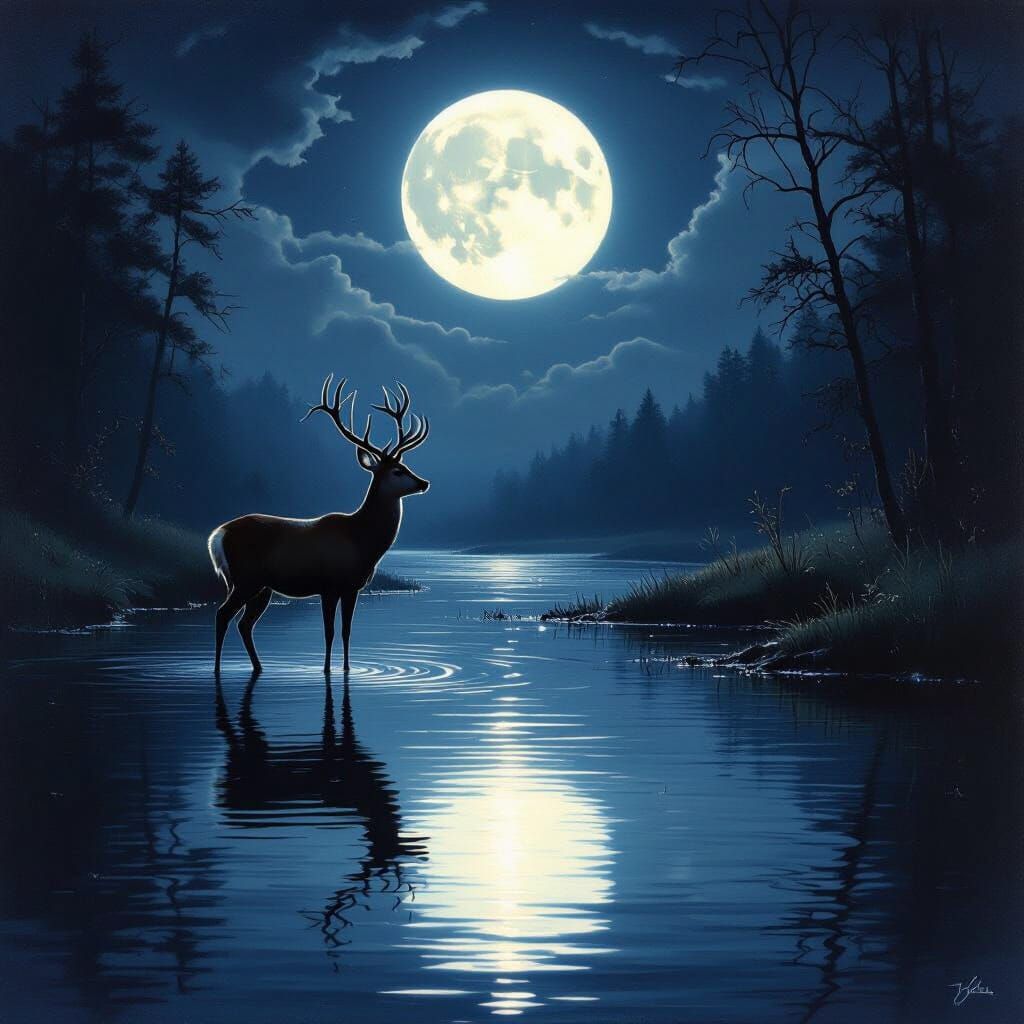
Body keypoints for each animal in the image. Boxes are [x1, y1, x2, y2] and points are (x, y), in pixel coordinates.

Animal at [208, 374, 430, 676]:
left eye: (406, 465)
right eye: (397, 471)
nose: (424, 482)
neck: (362, 541)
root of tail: (217, 536)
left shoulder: (352, 587)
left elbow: (347, 631)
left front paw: (347, 669)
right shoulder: (329, 585)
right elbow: (329, 632)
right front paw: (326, 670)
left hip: (261, 587)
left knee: (244, 623)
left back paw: (259, 666)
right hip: (246, 578)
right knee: (222, 615)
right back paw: (218, 669)